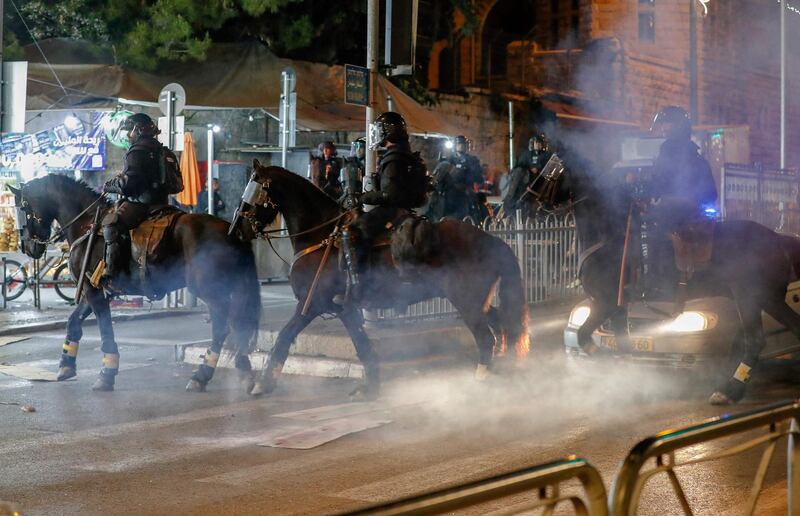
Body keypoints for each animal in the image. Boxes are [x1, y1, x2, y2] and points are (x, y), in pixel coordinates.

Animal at [9, 175, 260, 394]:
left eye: (23, 210)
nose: (27, 247)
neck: (86, 224)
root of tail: (232, 231)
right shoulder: (95, 290)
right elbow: (73, 322)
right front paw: (66, 365)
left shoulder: (93, 291)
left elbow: (105, 329)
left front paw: (106, 374)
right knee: (238, 325)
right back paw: (244, 371)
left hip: (209, 288)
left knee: (223, 326)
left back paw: (203, 375)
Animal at [230, 161, 532, 400]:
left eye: (253, 190)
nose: (236, 231)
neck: (321, 235)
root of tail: (492, 241)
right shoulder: (345, 309)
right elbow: (362, 346)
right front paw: (371, 386)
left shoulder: (312, 303)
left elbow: (284, 336)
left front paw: (263, 383)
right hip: (477, 301)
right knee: (503, 326)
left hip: (466, 301)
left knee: (486, 338)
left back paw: (482, 380)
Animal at [548, 147, 800, 406]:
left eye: (552, 168)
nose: (532, 199)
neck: (609, 238)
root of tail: (778, 238)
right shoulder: (618, 307)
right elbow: (622, 342)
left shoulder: (605, 302)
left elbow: (584, 335)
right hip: (768, 299)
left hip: (749, 297)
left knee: (756, 339)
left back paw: (729, 390)